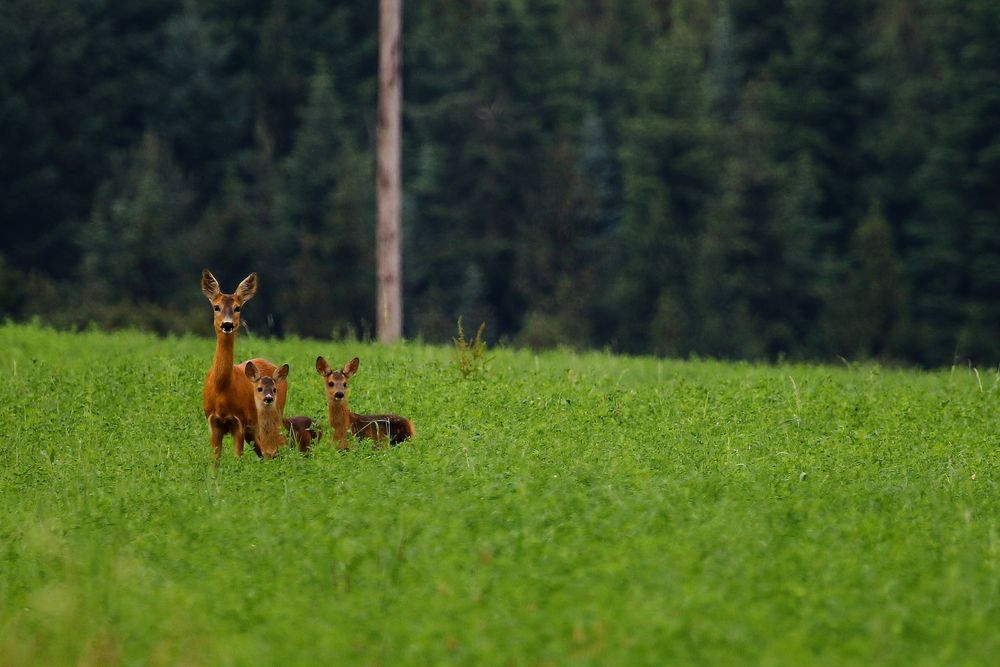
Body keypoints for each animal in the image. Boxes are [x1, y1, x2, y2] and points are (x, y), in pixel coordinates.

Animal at [199, 268, 286, 462]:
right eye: (216, 307)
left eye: (237, 308)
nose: (227, 324)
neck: (222, 388)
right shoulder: (212, 421)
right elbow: (215, 459)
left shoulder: (239, 421)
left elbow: (237, 457)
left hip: (273, 414)